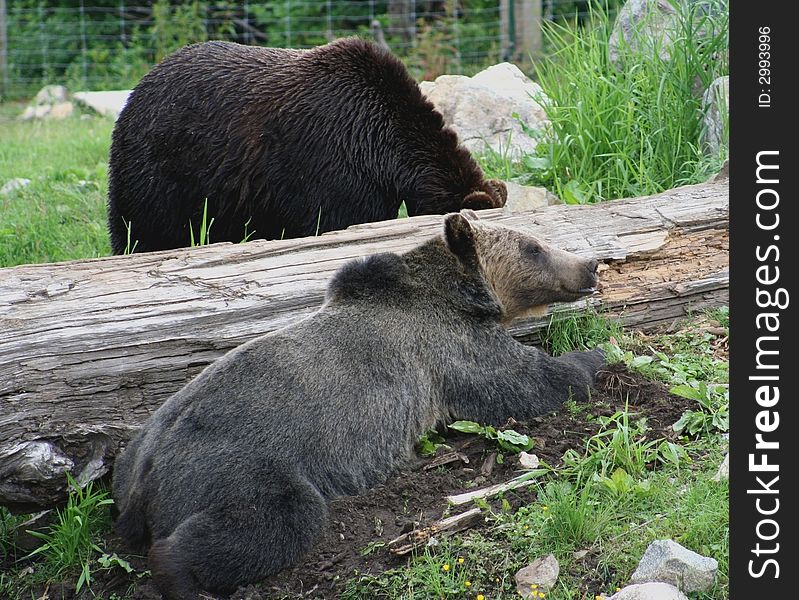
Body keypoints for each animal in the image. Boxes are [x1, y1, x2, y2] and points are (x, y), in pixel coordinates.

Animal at [111, 209, 600, 596]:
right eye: (533, 247)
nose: (591, 264)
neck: (459, 295)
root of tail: (144, 477)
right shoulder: (451, 348)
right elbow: (524, 382)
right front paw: (594, 358)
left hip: (135, 453)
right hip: (234, 466)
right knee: (280, 517)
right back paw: (182, 575)